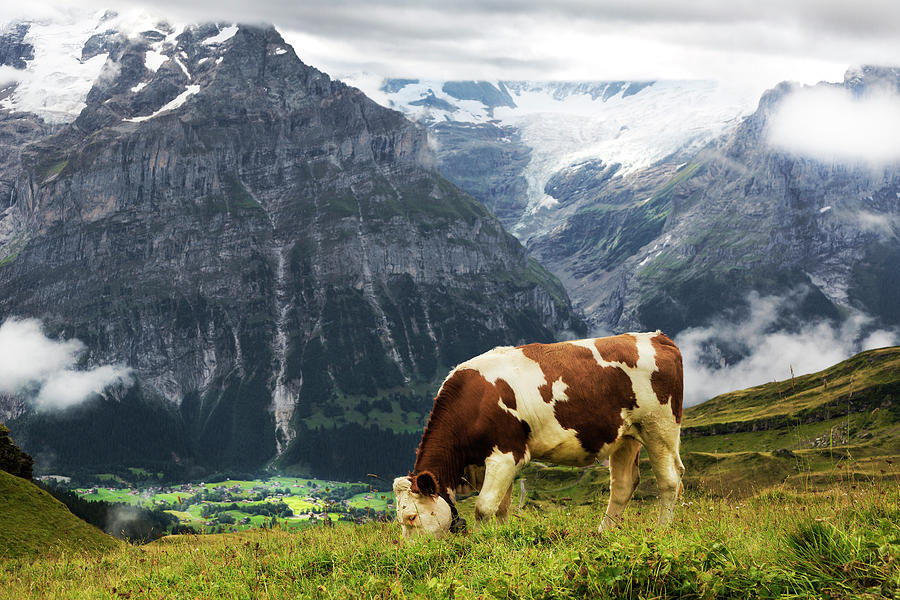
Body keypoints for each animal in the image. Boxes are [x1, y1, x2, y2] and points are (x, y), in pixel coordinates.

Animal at [394, 330, 684, 536]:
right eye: (398, 520)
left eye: (411, 517)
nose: (413, 556)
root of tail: (659, 338)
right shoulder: (495, 464)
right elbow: (501, 507)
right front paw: (501, 539)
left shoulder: (505, 455)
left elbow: (484, 507)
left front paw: (481, 543)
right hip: (626, 436)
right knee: (623, 485)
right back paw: (604, 533)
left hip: (659, 427)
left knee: (670, 480)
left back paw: (661, 530)